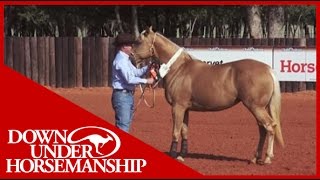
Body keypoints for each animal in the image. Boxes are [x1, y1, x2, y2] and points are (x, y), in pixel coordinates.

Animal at [132, 26, 284, 165]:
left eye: (138, 42)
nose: (131, 59)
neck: (179, 68)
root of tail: (268, 69)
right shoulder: (185, 109)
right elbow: (184, 131)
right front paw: (182, 155)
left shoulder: (177, 107)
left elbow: (175, 131)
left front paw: (173, 155)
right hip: (259, 108)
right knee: (262, 129)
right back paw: (255, 158)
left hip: (256, 107)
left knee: (270, 126)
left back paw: (267, 158)